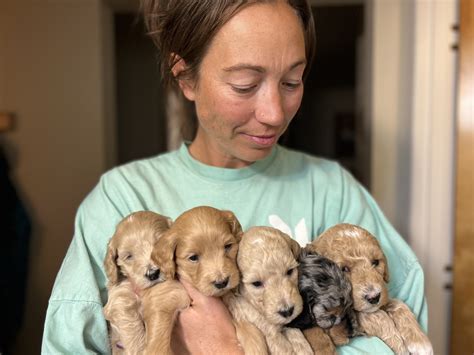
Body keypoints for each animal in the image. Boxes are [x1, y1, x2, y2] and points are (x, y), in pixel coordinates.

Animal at [103, 211, 173, 355]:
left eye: (159, 244)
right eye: (129, 256)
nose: (153, 274)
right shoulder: (120, 296)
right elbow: (132, 328)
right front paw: (140, 348)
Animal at [308, 225, 434, 355]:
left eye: (375, 262)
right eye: (344, 269)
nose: (374, 297)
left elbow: (398, 304)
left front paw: (419, 341)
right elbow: (378, 316)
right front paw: (399, 346)